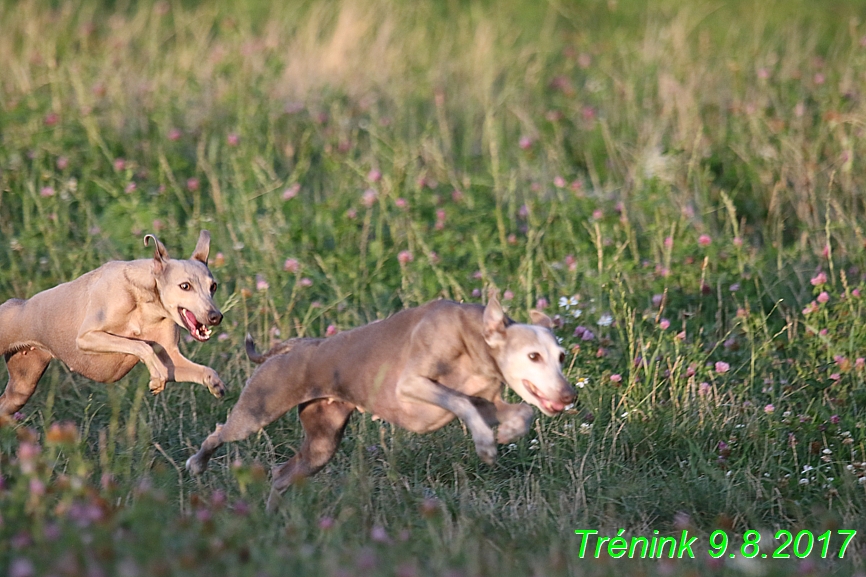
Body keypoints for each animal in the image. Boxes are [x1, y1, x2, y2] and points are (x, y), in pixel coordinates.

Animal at [0, 228, 226, 414]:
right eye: (185, 286)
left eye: (213, 286)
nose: (216, 316)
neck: (144, 300)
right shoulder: (87, 338)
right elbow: (142, 346)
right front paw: (156, 378)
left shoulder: (171, 358)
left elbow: (203, 370)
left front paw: (215, 384)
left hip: (21, 389)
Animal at [186, 296, 572, 508]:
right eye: (533, 356)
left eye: (561, 357)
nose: (570, 395)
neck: (475, 337)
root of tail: (291, 346)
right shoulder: (412, 385)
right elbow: (460, 402)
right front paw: (487, 445)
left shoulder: (486, 400)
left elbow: (521, 411)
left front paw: (505, 433)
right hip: (256, 413)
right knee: (218, 433)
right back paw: (197, 464)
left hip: (322, 445)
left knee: (282, 475)